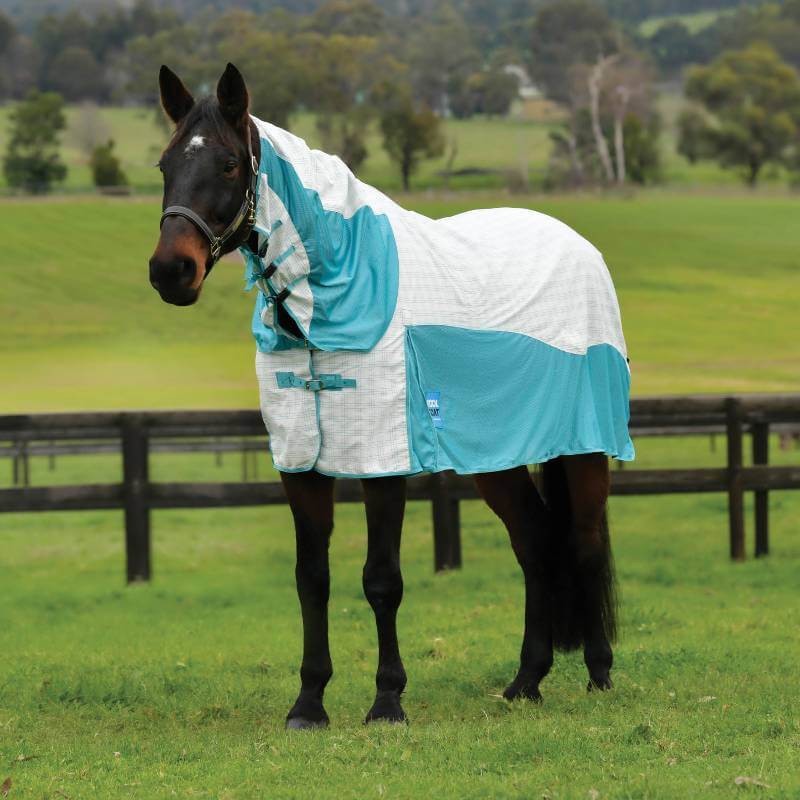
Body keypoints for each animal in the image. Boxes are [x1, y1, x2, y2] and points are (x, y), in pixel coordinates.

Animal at [149, 63, 634, 729]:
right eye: (165, 164)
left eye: (226, 163)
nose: (171, 271)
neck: (339, 277)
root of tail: (578, 245)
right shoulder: (301, 462)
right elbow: (312, 578)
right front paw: (309, 703)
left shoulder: (382, 461)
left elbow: (381, 579)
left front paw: (387, 701)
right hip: (496, 460)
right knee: (535, 544)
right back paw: (525, 682)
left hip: (583, 447)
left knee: (583, 542)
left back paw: (600, 675)